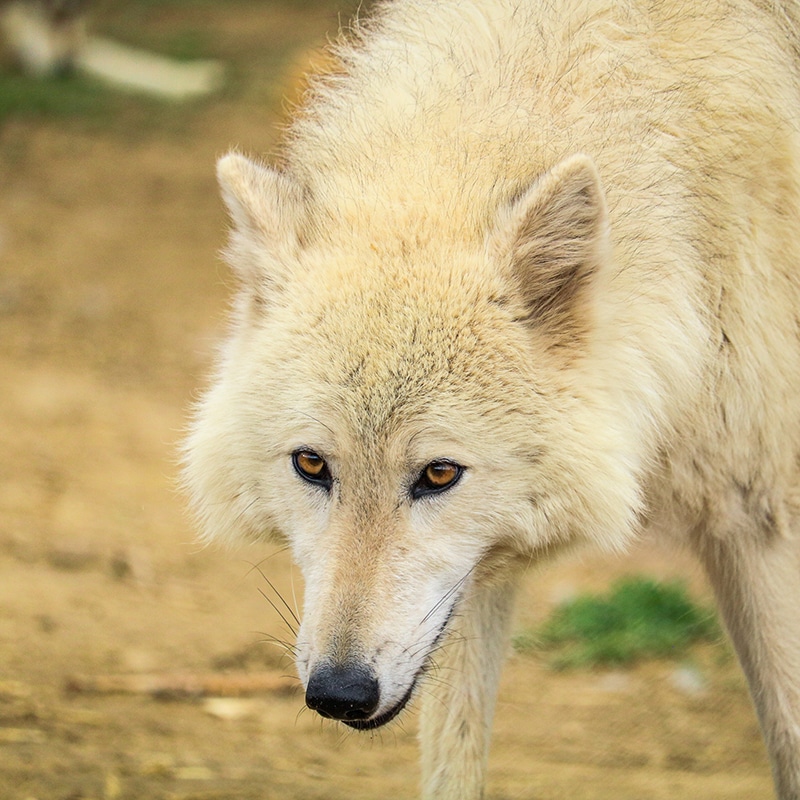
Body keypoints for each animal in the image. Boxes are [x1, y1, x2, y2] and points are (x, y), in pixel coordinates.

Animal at [184, 0, 800, 796]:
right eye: (312, 465)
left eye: (439, 473)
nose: (340, 693)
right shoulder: (472, 581)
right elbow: (454, 760)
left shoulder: (759, 512)